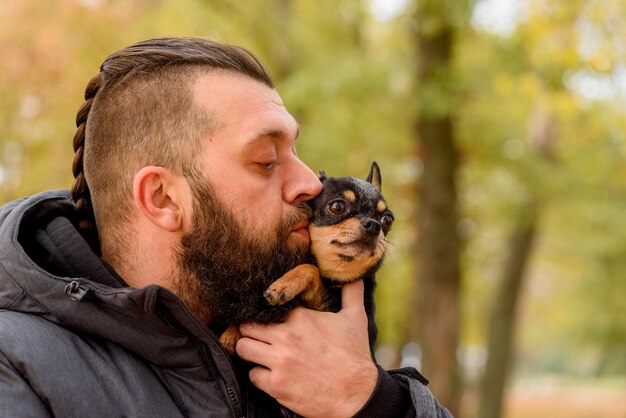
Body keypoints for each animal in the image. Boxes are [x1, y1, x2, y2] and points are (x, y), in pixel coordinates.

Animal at [219, 161, 390, 356]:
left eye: (387, 220)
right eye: (337, 207)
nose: (374, 225)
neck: (334, 278)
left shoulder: (327, 308)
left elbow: (310, 268)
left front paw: (285, 284)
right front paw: (232, 332)